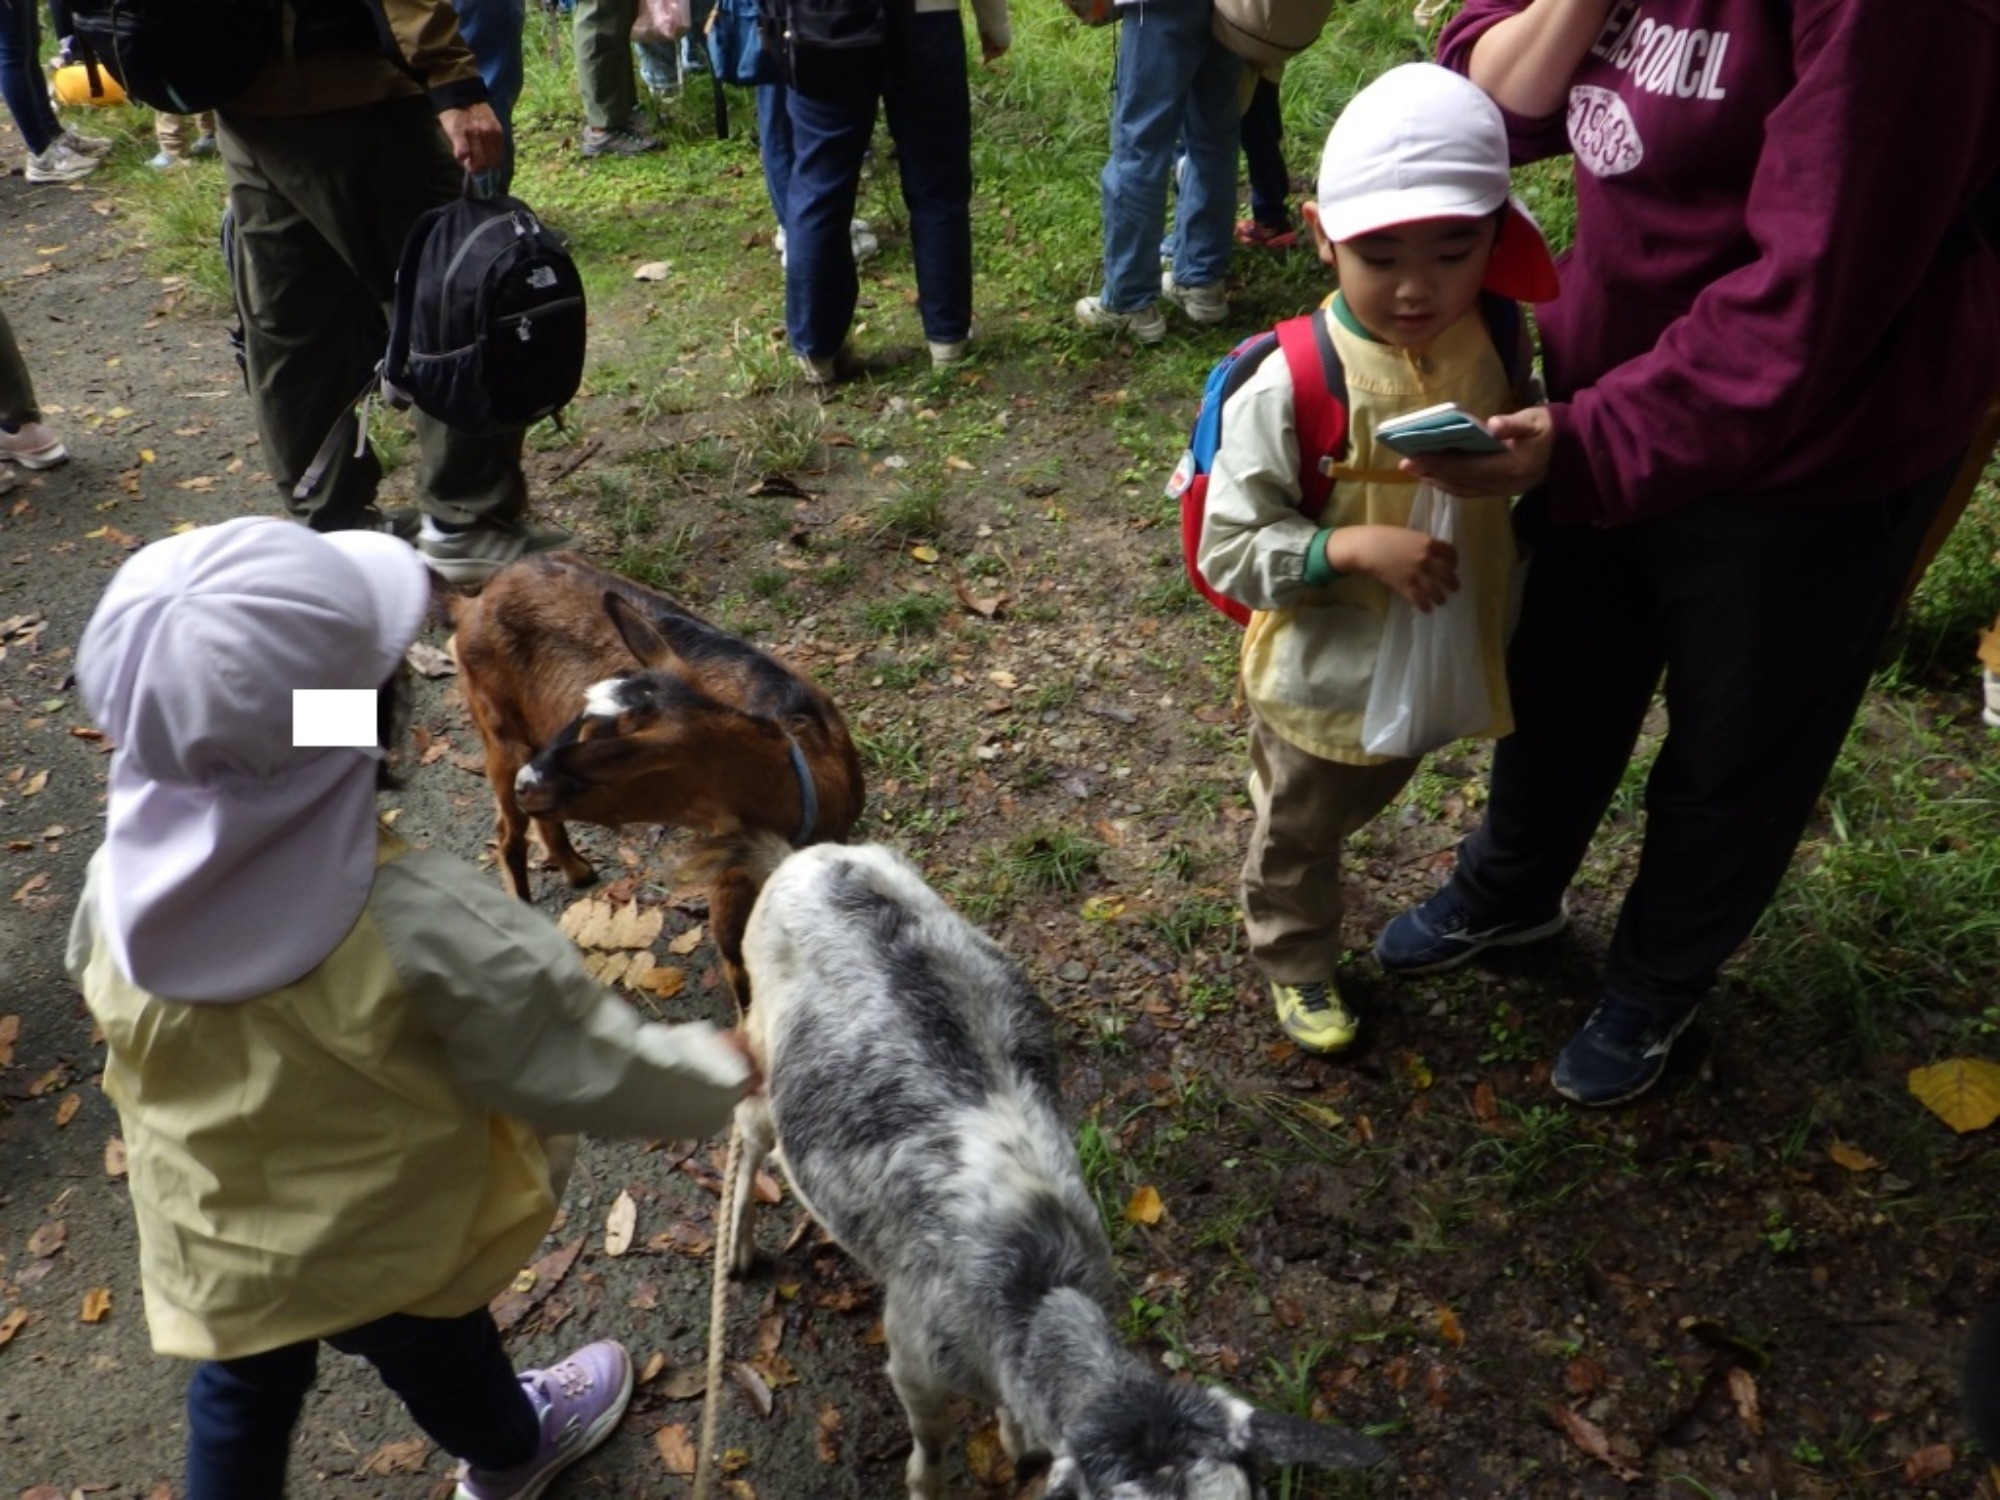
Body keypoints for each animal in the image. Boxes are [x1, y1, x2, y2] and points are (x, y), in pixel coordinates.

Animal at [450, 556, 864, 1012]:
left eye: (611, 757)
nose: (528, 783)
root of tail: (478, 596)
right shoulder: (732, 880)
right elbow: (740, 969)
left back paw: (575, 869)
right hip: (499, 730)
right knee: (508, 832)